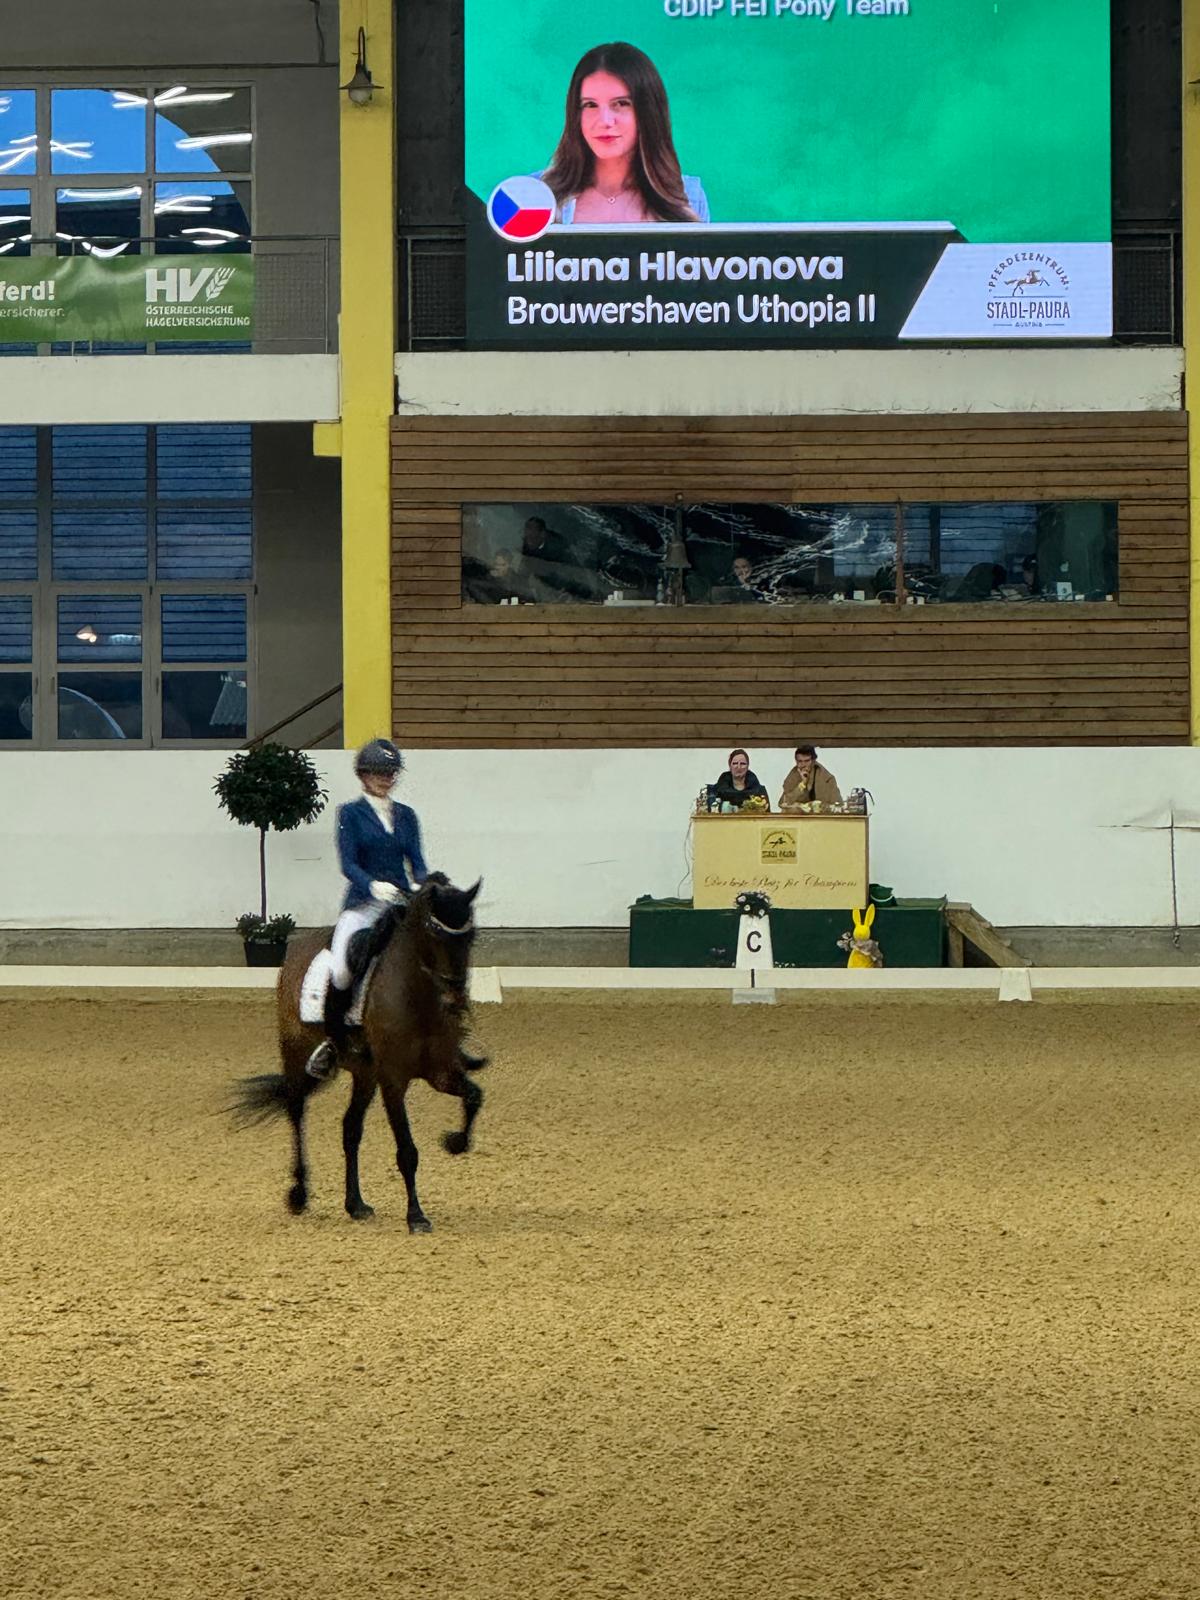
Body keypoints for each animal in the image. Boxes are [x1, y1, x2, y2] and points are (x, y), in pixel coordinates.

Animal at [230, 875, 484, 1232]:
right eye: (434, 932)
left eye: (471, 935)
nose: (455, 1000)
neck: (417, 998)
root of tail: (298, 947)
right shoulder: (393, 1080)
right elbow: (407, 1150)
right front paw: (416, 1217)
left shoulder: (441, 1072)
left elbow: (474, 1097)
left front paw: (455, 1143)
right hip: (295, 1053)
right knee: (296, 1112)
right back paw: (299, 1194)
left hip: (365, 1073)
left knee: (350, 1128)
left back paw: (355, 1205)